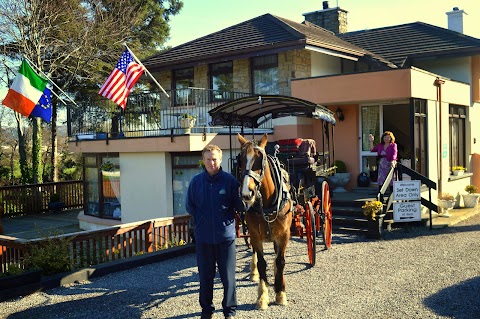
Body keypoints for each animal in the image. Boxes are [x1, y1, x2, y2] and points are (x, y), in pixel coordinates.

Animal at [236, 132, 292, 310]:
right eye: (240, 160)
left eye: (260, 159)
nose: (247, 194)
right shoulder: (254, 234)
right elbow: (261, 263)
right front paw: (262, 296)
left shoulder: (284, 234)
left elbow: (280, 261)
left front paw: (280, 292)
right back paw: (253, 272)